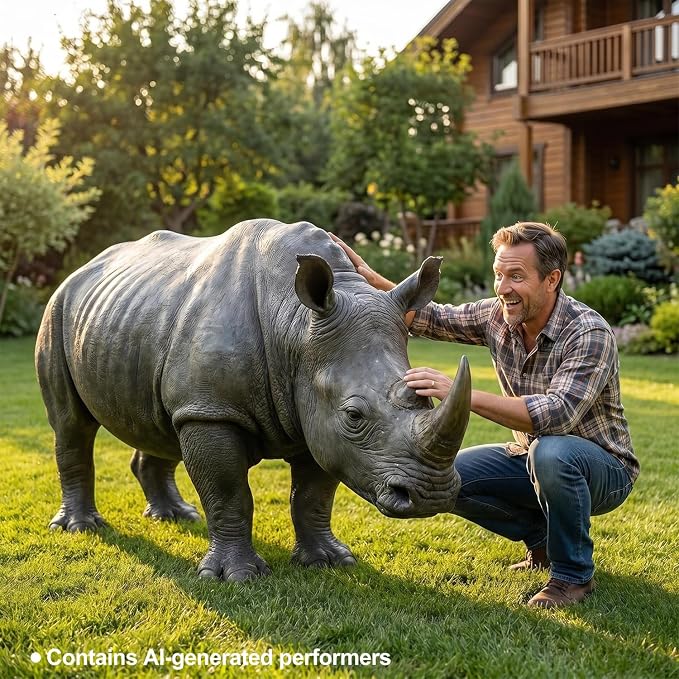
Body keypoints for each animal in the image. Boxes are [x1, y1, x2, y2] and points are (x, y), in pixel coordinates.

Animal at [35, 219, 471, 581]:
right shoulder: (213, 412)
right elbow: (229, 493)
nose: (431, 494)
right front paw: (237, 576)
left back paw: (176, 517)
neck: (296, 326)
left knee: (160, 425)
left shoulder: (314, 418)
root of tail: (81, 269)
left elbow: (313, 496)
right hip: (58, 310)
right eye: (354, 415)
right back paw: (82, 527)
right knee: (72, 425)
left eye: (425, 400)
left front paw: (330, 561)